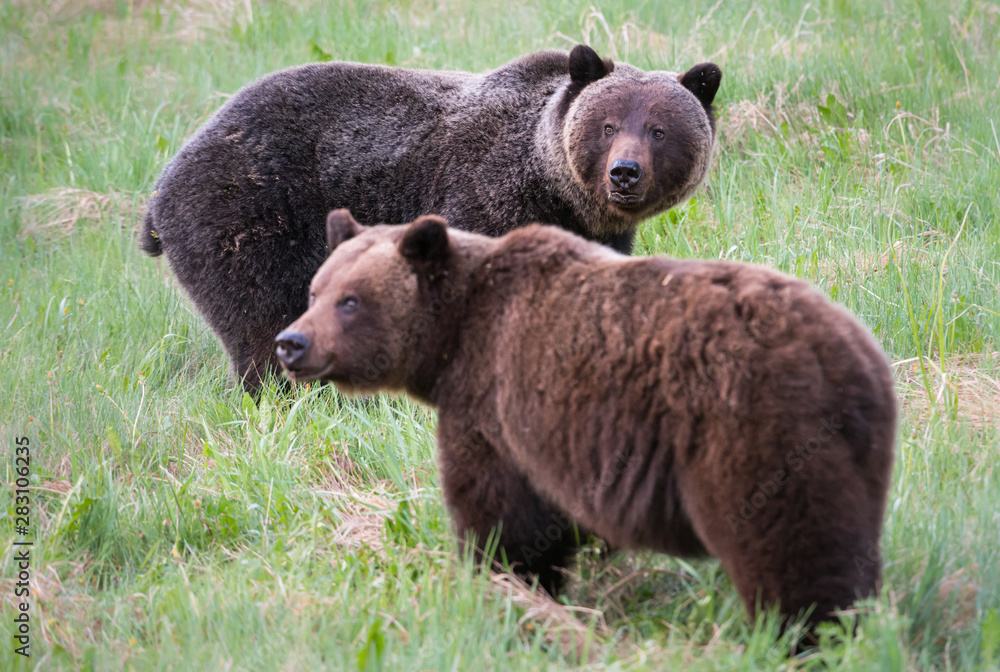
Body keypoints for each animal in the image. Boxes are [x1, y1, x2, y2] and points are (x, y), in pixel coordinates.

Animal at [141, 45, 721, 391]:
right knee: (260, 320)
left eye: (659, 130)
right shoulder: (480, 197)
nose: (624, 173)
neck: (550, 186)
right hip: (247, 215)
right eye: (607, 125)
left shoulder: (599, 234)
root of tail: (162, 182)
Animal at [274, 209, 897, 626]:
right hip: (858, 451)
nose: (291, 342)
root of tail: (849, 357)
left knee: (789, 546)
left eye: (351, 300)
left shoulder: (489, 404)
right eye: (315, 290)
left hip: (751, 429)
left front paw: (506, 583)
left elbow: (500, 511)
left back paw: (804, 630)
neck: (452, 340)